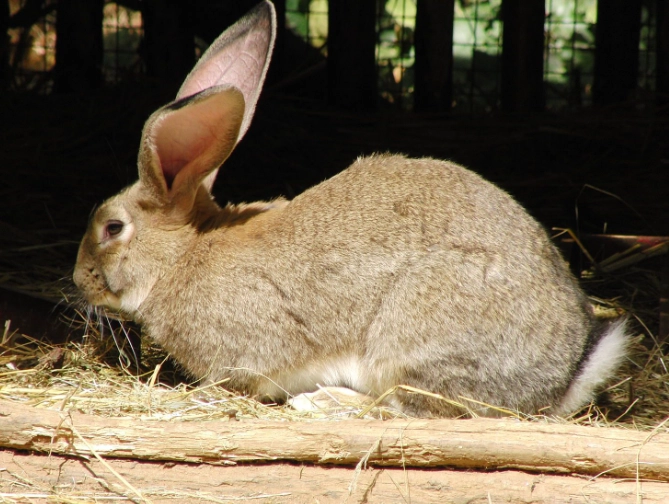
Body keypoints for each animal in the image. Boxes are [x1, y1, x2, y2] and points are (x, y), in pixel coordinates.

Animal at [73, 0, 629, 418]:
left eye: (112, 228)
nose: (79, 280)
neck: (181, 256)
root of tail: (564, 377)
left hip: (415, 334)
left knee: (415, 408)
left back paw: (324, 402)